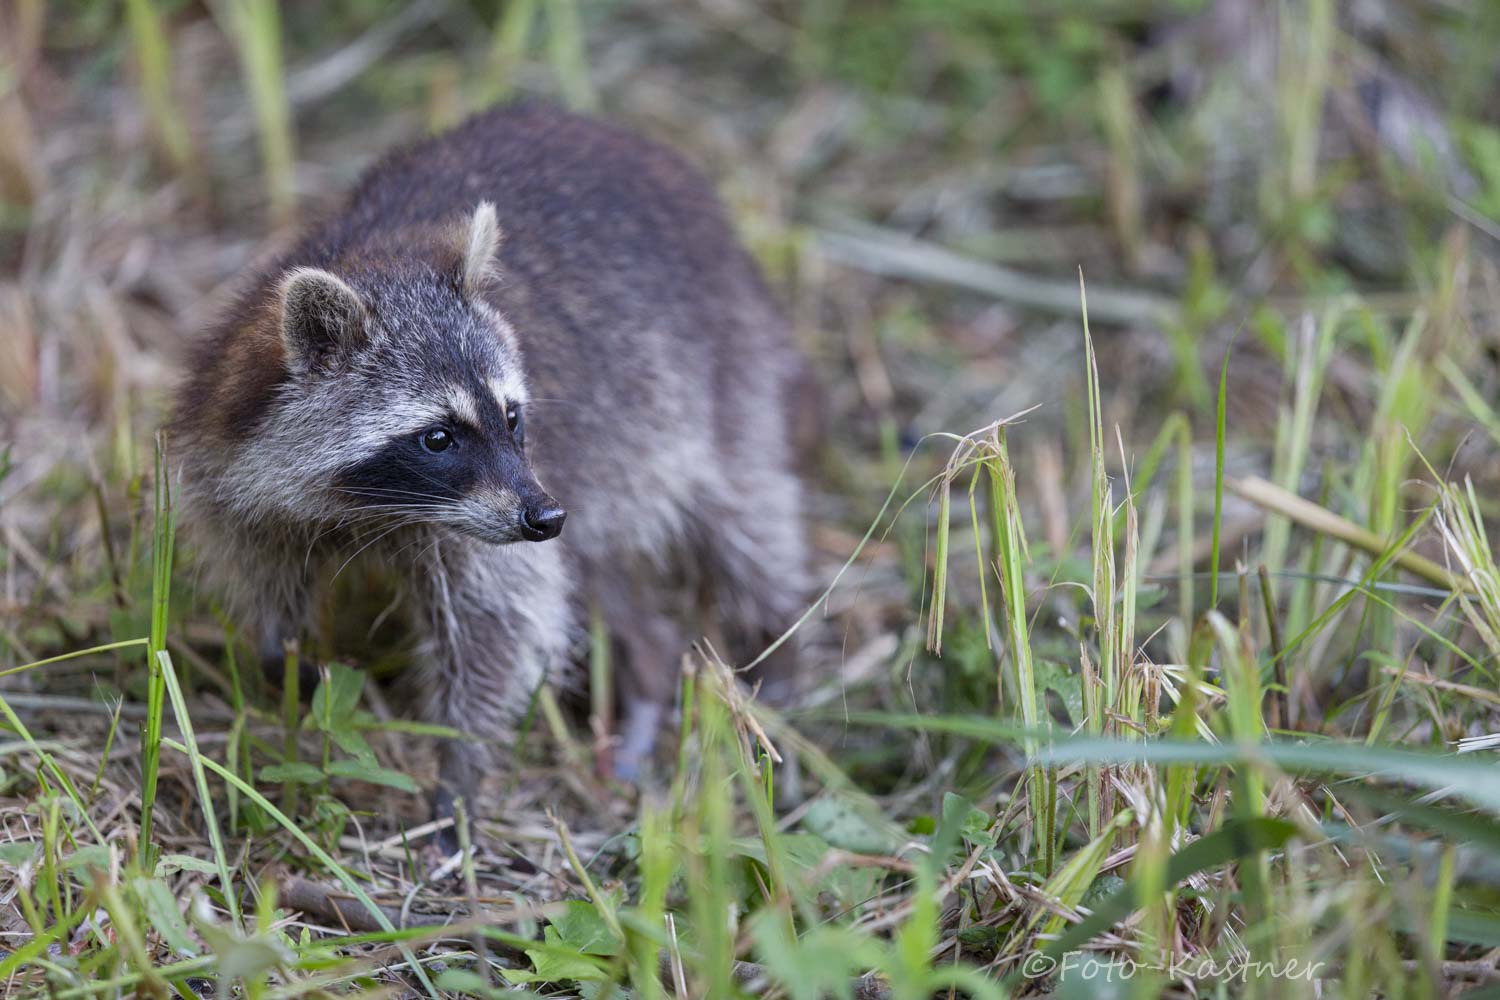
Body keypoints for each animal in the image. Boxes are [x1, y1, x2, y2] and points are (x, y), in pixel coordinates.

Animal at [177, 99, 816, 821]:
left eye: (511, 416)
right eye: (438, 437)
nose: (546, 517)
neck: (370, 510)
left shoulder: (497, 514)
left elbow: (498, 629)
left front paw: (459, 771)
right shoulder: (237, 476)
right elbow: (265, 584)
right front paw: (287, 663)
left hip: (724, 376)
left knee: (747, 524)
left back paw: (776, 646)